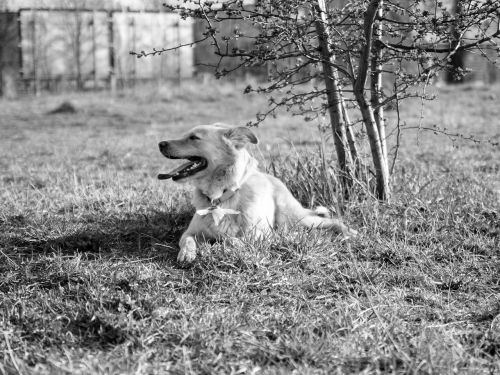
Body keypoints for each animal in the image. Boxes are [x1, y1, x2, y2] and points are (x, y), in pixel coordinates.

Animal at [158, 125, 358, 262]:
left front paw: (223, 244)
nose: (160, 143)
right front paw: (187, 254)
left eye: (194, 137)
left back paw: (350, 232)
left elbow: (231, 239)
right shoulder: (190, 232)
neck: (220, 196)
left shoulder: (260, 235)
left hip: (293, 219)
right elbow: (188, 240)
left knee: (332, 221)